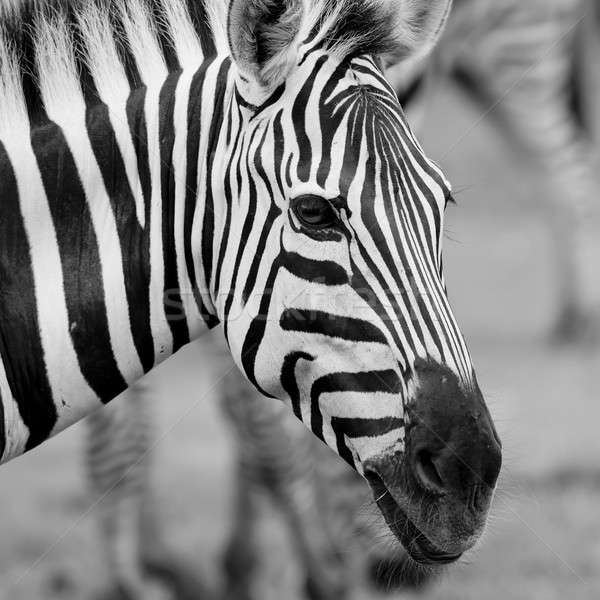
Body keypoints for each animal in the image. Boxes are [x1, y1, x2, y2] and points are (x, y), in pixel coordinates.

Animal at [85, 1, 600, 600]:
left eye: (444, 207)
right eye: (313, 212)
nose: (467, 478)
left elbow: (245, 414)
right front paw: (133, 572)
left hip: (516, 46)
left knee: (572, 172)